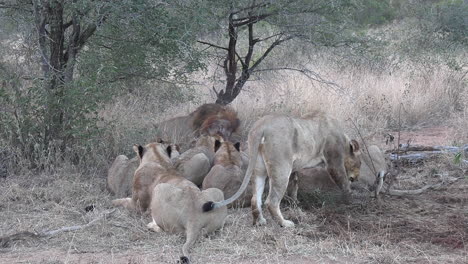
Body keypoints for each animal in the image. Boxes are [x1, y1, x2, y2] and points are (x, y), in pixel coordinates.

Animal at [203, 112, 360, 228]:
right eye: (360, 163)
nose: (357, 178)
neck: (344, 141)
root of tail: (261, 126)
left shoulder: (295, 167)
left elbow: (295, 184)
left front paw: (295, 202)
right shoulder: (334, 160)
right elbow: (343, 181)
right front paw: (351, 199)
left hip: (259, 167)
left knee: (255, 198)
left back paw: (259, 222)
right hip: (281, 167)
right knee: (271, 201)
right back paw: (285, 224)